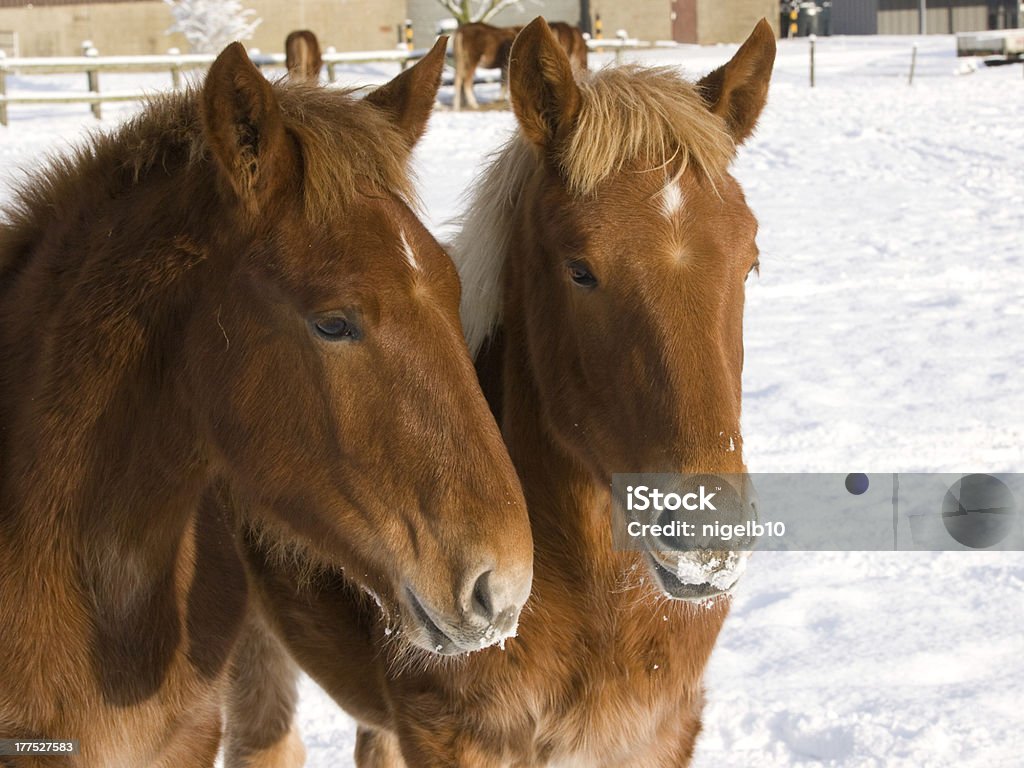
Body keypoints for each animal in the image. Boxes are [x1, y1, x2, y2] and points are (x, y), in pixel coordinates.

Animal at [454, 19, 589, 109]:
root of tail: (461, 31)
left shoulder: (505, 65)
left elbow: (504, 82)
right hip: (472, 59)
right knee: (466, 81)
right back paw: (473, 103)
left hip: (461, 61)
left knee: (459, 80)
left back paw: (459, 105)